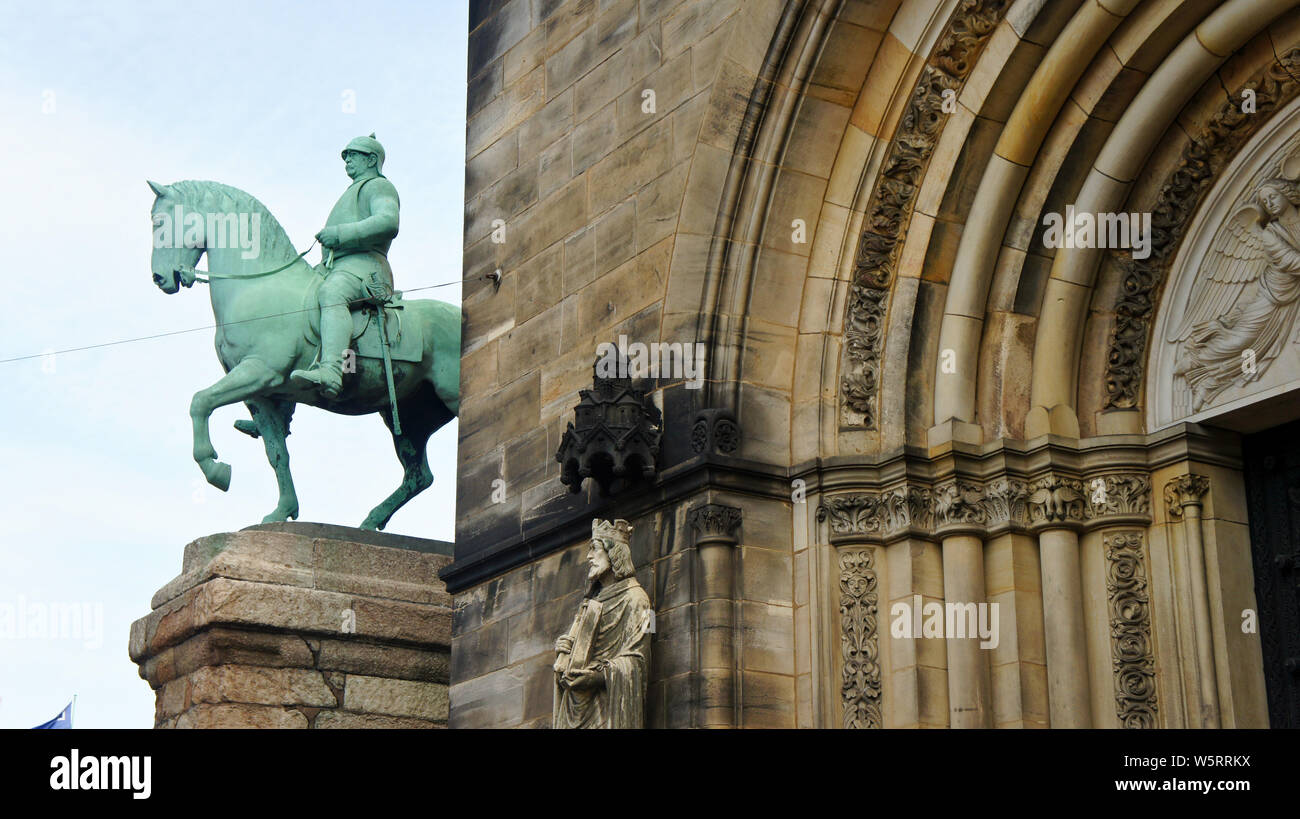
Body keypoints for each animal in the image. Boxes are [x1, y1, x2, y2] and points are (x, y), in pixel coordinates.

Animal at [146, 179, 460, 533]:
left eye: (158, 223)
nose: (159, 278)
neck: (260, 284)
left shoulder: (258, 371)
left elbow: (200, 401)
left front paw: (215, 468)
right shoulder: (260, 394)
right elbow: (277, 453)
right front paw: (281, 510)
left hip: (449, 397)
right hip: (408, 417)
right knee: (419, 476)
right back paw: (370, 521)